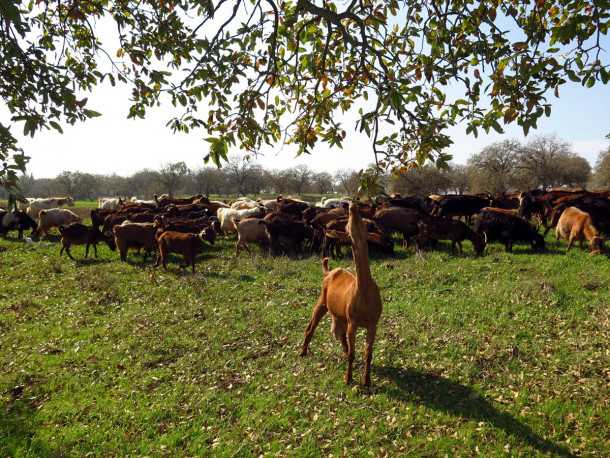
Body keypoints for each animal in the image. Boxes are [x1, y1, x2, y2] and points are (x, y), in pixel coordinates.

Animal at [300, 204, 380, 386]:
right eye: (347, 228)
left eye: (365, 225)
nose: (352, 206)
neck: (364, 291)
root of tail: (329, 272)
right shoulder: (353, 322)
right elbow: (352, 352)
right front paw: (348, 378)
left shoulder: (373, 323)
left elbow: (368, 353)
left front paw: (367, 380)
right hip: (322, 301)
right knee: (310, 328)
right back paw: (303, 352)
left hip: (340, 315)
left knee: (341, 336)